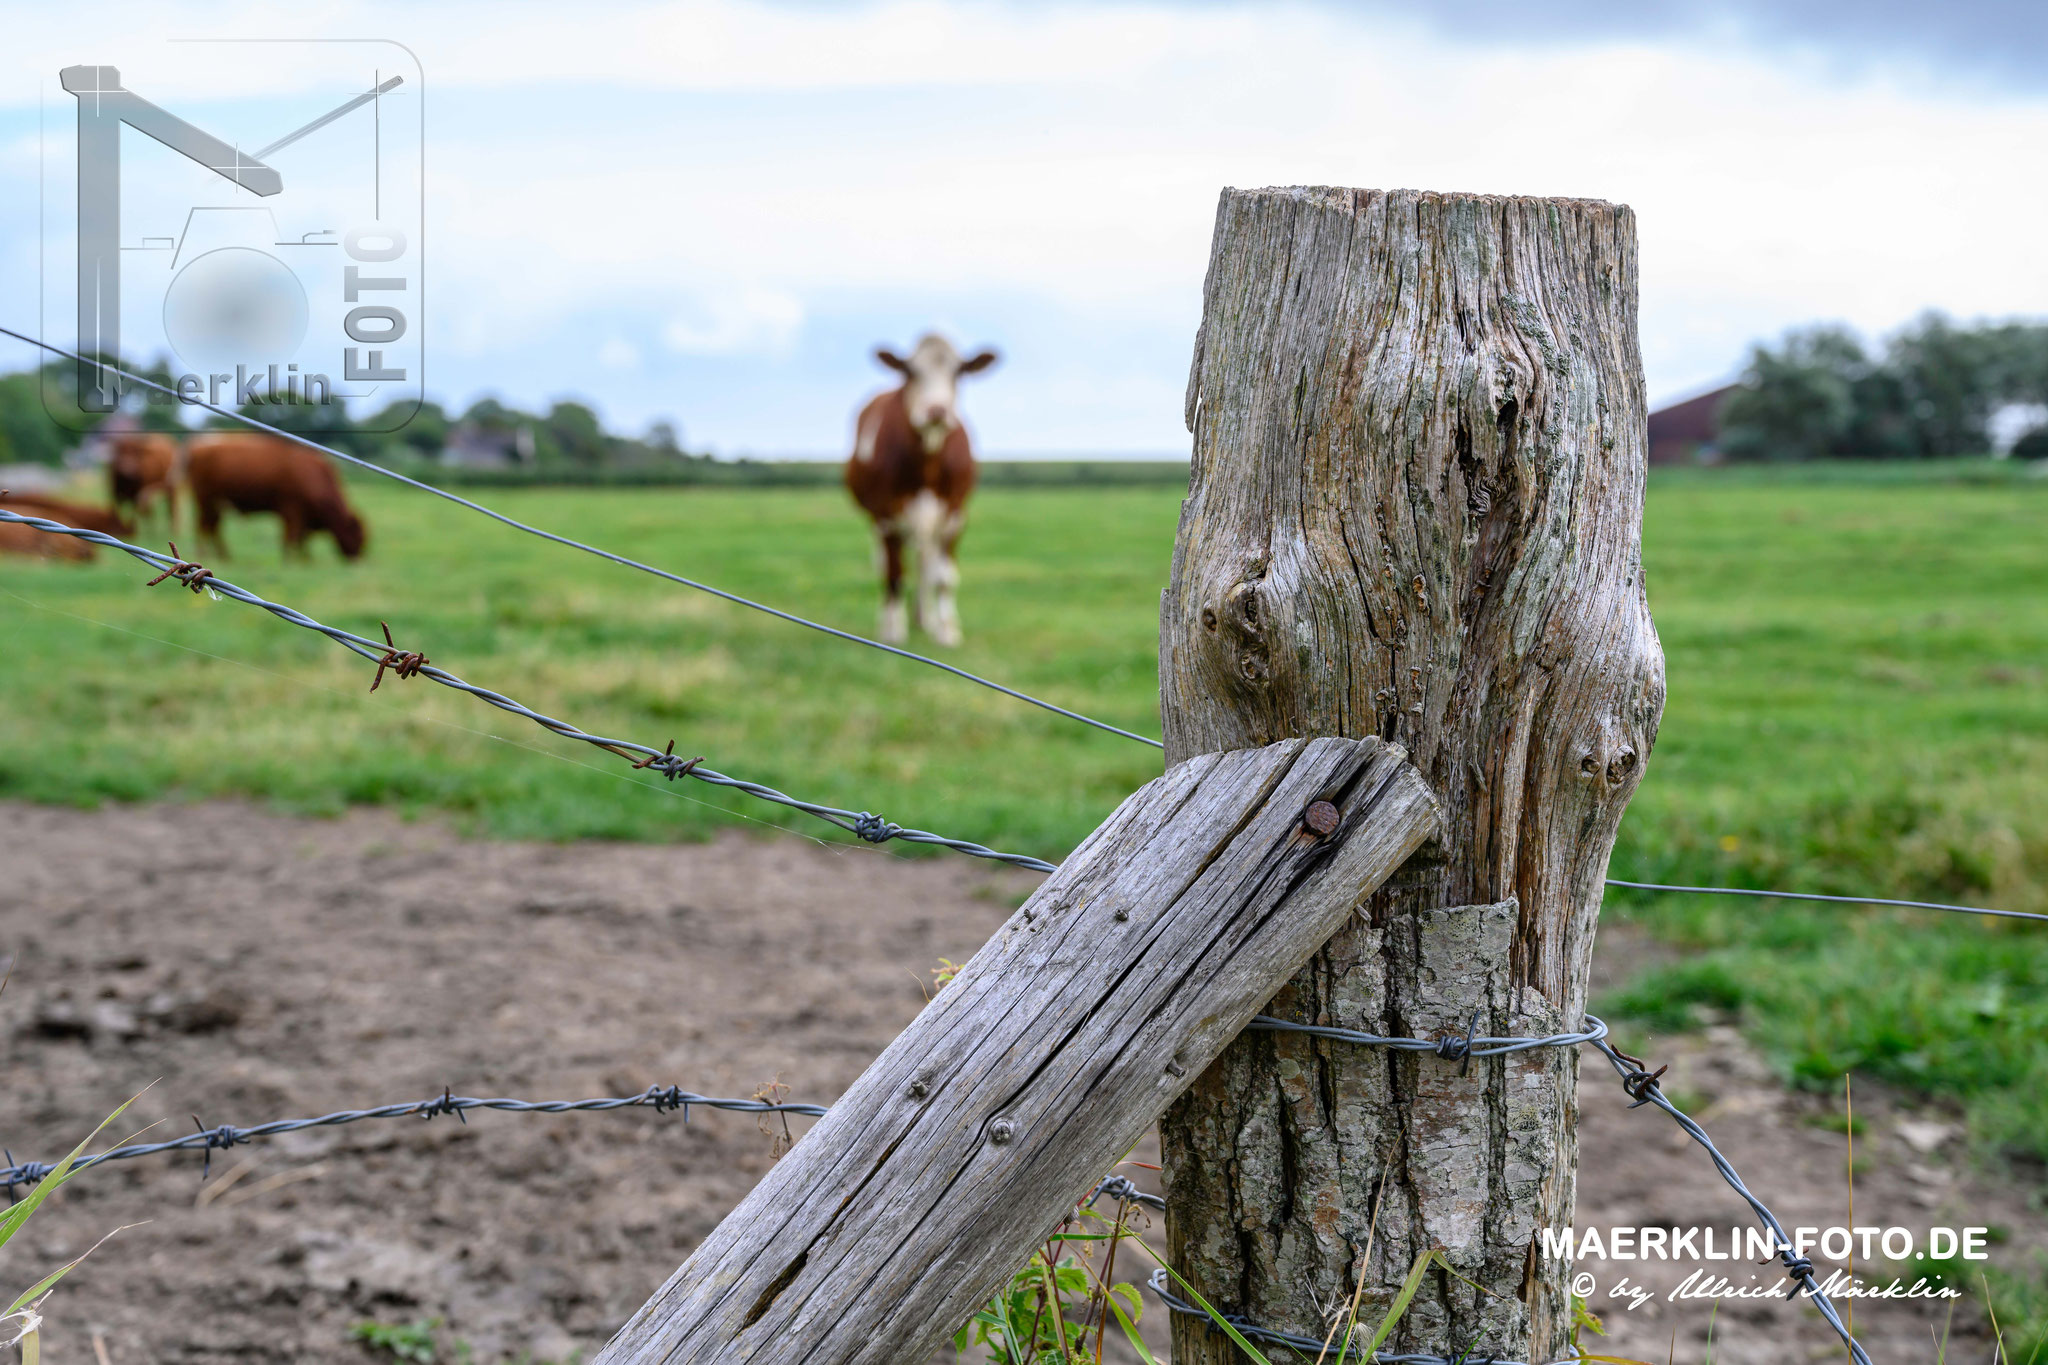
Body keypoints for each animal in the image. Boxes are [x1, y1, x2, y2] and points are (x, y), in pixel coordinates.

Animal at [185, 431, 368, 560]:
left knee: (212, 526)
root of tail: (198, 447)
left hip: (214, 503)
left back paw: (222, 556)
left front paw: (305, 560)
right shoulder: (292, 510)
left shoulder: (299, 515)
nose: (358, 559)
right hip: (206, 500)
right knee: (205, 526)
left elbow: (299, 538)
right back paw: (209, 555)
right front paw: (292, 561)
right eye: (357, 534)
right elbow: (291, 537)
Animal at [843, 333, 995, 650]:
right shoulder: (886, 516)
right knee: (887, 566)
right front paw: (892, 630)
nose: (936, 410)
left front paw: (947, 630)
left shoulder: (954, 513)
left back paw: (926, 619)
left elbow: (944, 576)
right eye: (911, 371)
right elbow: (894, 574)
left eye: (959, 371)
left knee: (926, 564)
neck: (928, 460)